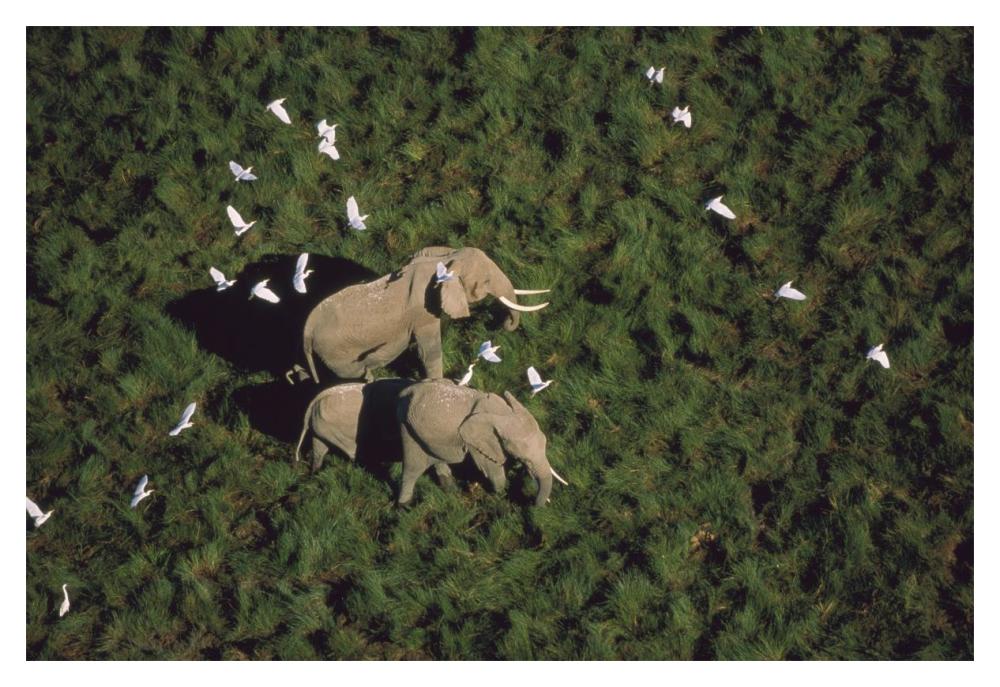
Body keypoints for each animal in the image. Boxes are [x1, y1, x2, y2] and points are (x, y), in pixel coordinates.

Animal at [301, 246, 549, 383]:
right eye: (486, 281)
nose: (503, 324)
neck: (445, 261)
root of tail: (306, 331)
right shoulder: (422, 314)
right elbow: (429, 351)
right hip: (334, 351)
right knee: (354, 372)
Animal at [395, 379, 560, 507]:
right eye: (523, 458)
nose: (532, 503)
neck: (503, 413)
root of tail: (405, 391)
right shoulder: (477, 442)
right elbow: (493, 471)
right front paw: (500, 496)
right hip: (406, 425)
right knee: (413, 468)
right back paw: (405, 506)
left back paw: (451, 490)